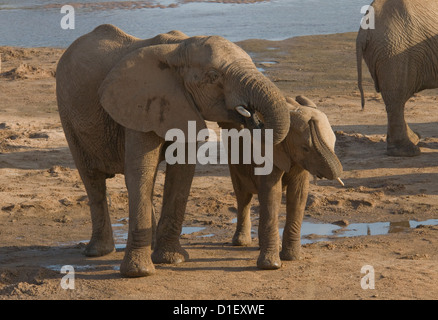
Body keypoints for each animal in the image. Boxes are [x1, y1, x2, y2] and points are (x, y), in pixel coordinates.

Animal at [57, 25, 290, 276]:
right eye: (213, 76)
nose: (252, 116)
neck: (177, 49)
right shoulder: (140, 102)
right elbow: (141, 171)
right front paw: (140, 272)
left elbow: (181, 171)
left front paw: (172, 260)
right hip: (68, 115)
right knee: (92, 179)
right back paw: (98, 252)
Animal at [221, 95, 340, 270]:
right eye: (305, 148)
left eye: (334, 142)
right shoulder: (269, 152)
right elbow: (272, 193)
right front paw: (271, 266)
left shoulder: (299, 161)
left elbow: (298, 194)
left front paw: (292, 258)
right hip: (233, 158)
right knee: (243, 196)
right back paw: (241, 242)